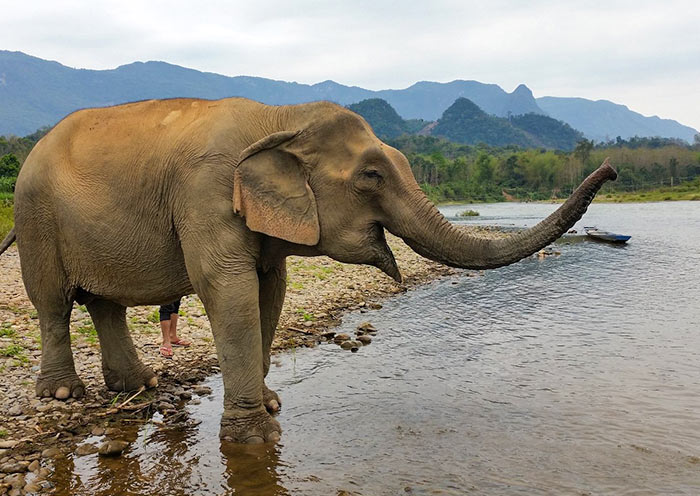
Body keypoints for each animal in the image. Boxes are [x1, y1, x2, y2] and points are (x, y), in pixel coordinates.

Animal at [0, 97, 617, 443]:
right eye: (371, 176)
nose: (610, 168)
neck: (278, 120)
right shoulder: (205, 193)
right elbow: (228, 290)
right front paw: (254, 435)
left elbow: (269, 291)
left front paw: (271, 405)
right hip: (34, 214)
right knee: (53, 300)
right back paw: (63, 395)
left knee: (103, 303)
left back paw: (139, 385)